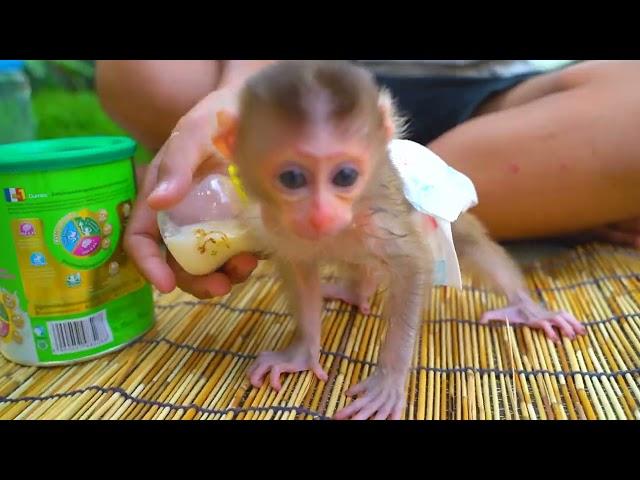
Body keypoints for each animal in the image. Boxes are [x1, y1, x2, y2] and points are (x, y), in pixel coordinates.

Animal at [218, 60, 588, 420]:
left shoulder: (382, 219)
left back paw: (529, 309)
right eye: (292, 178)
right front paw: (301, 352)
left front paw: (388, 382)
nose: (321, 214)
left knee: (469, 243)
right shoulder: (275, 224)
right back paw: (355, 292)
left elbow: (413, 268)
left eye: (345, 176)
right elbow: (299, 270)